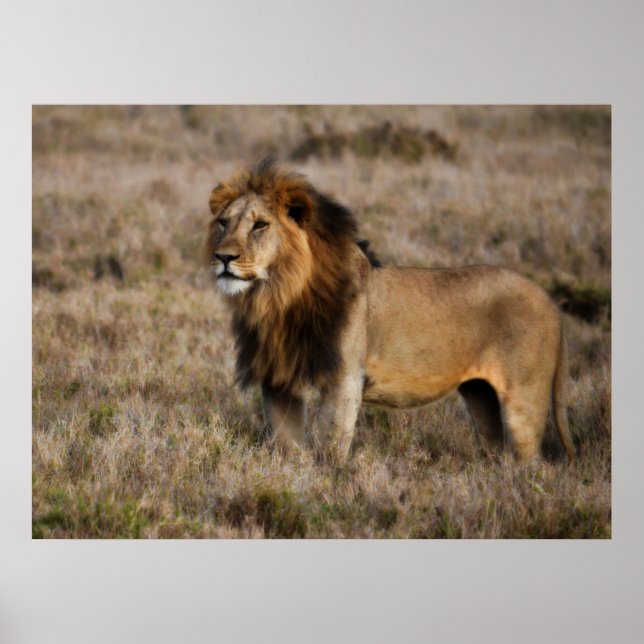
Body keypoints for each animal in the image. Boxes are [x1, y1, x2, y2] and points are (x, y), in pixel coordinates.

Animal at [205, 158, 576, 462]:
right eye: (223, 223)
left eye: (260, 225)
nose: (223, 257)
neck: (278, 297)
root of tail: (549, 300)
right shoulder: (278, 379)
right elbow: (287, 445)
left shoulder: (344, 378)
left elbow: (330, 444)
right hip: (480, 394)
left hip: (523, 399)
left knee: (532, 462)